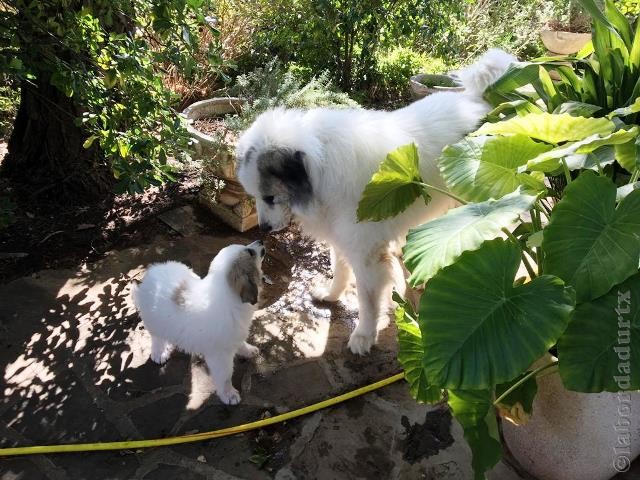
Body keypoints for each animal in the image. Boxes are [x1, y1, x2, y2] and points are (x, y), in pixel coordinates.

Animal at [132, 240, 264, 404]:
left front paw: (249, 350)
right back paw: (159, 352)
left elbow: (241, 344)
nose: (260, 241)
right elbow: (225, 377)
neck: (227, 294)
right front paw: (229, 394)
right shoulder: (220, 356)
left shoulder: (234, 335)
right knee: (157, 337)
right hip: (154, 321)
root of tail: (153, 271)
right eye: (251, 253)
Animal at [235, 50, 516, 354]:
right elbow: (339, 270)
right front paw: (331, 295)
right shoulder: (341, 237)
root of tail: (474, 99)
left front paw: (364, 336)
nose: (263, 229)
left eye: (269, 197)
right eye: (255, 197)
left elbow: (367, 300)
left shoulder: (366, 254)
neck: (320, 165)